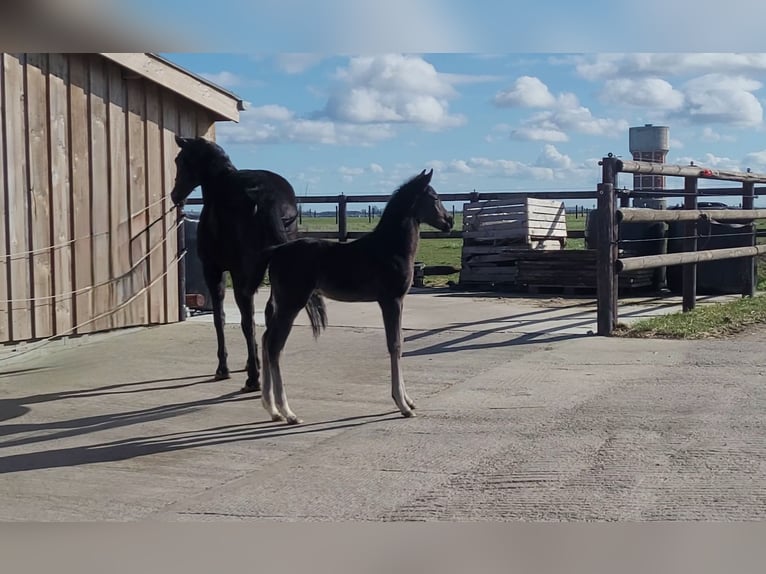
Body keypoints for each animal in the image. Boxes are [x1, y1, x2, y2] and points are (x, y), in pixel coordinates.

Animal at [170, 136, 323, 393]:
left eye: (180, 160)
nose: (174, 195)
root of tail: (267, 198)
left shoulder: (215, 271)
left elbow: (220, 317)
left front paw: (223, 368)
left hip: (245, 275)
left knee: (248, 320)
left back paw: (253, 378)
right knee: (270, 313)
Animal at [250, 169, 454, 425]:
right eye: (435, 197)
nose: (450, 221)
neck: (390, 247)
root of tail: (277, 251)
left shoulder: (397, 302)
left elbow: (399, 342)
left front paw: (408, 400)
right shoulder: (391, 301)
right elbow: (394, 345)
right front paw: (402, 405)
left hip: (280, 302)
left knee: (266, 339)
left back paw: (273, 410)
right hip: (291, 303)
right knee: (275, 346)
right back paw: (288, 412)